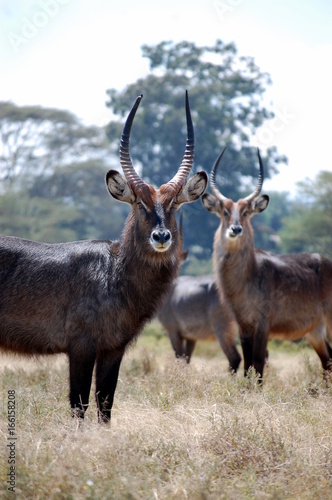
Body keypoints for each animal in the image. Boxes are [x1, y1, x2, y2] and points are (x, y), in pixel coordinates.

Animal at [0, 91, 208, 422]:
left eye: (174, 203)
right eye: (139, 203)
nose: (161, 237)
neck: (114, 272)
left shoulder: (114, 348)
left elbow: (105, 403)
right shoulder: (81, 347)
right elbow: (79, 404)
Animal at [201, 146, 332, 380]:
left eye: (245, 212)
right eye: (225, 211)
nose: (236, 229)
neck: (247, 277)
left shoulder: (263, 324)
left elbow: (259, 364)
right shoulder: (243, 326)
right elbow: (248, 366)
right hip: (315, 331)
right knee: (327, 362)